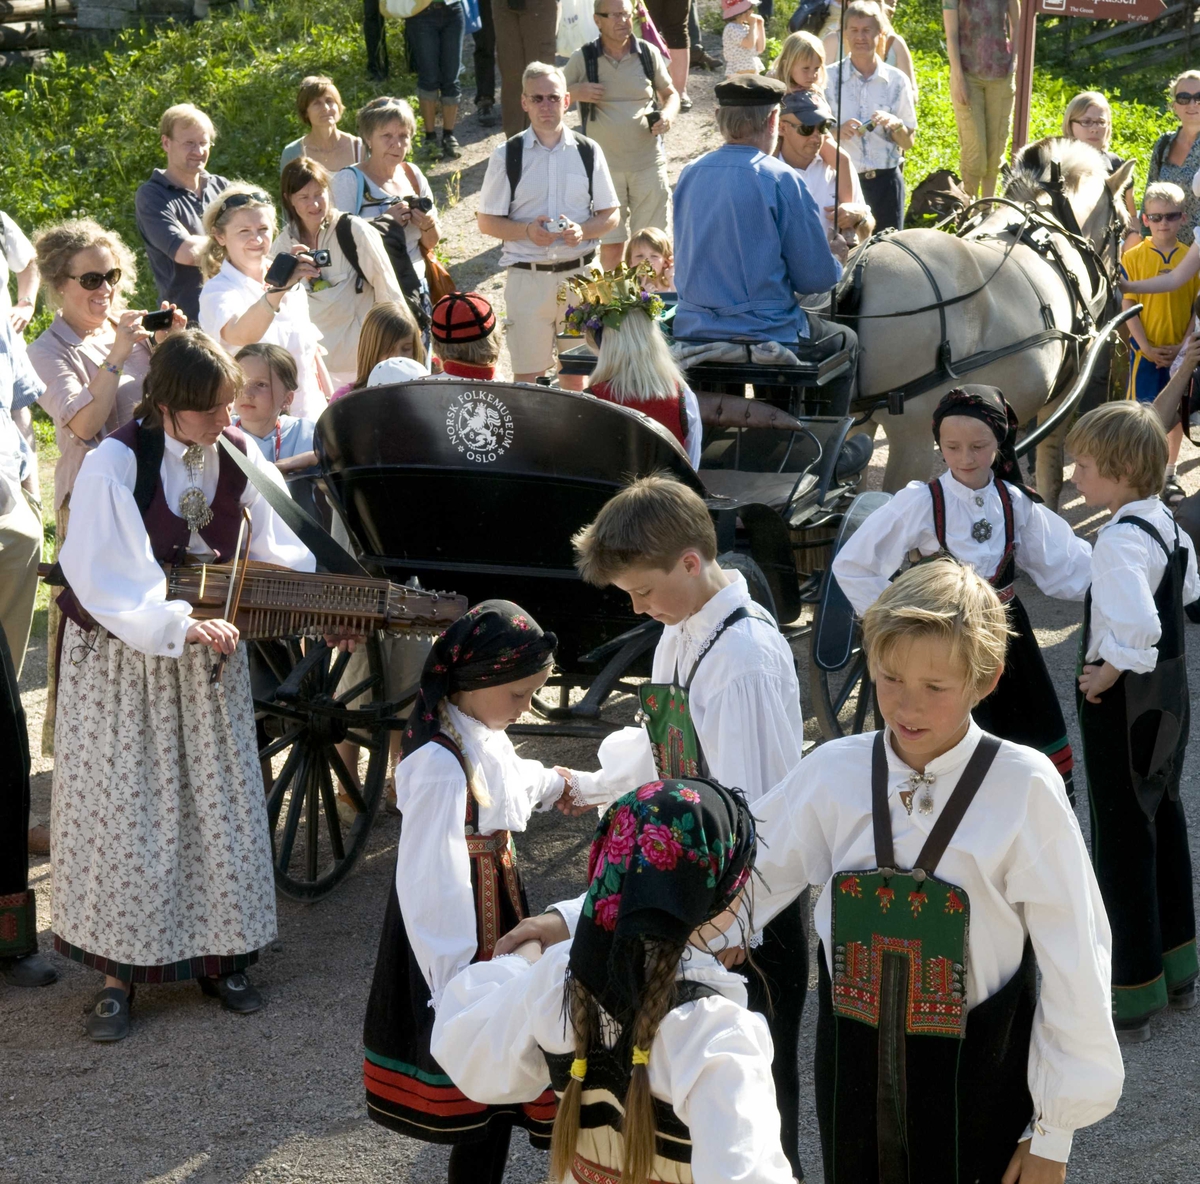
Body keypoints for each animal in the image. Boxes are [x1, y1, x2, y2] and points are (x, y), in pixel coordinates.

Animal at [844, 137, 1132, 494]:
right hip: (912, 439)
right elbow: (1051, 472)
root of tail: (861, 268)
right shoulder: (1064, 393)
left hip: (858, 424)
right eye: (1123, 225)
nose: (1118, 282)